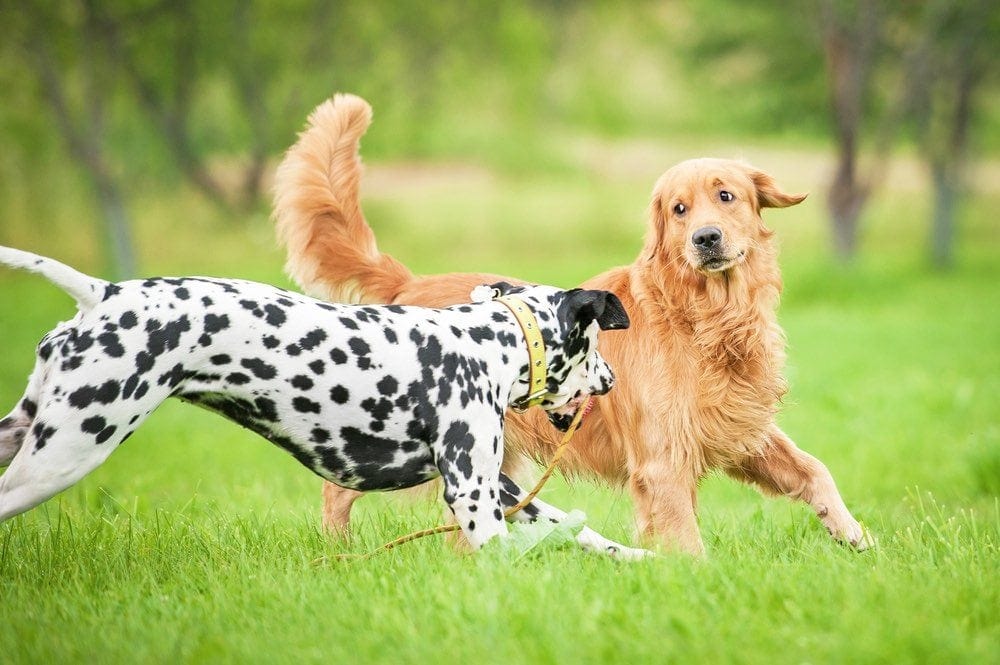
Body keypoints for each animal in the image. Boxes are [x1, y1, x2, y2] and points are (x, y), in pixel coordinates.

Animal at [0, 246, 652, 556]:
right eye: (596, 345)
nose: (612, 381)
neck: (484, 342)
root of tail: (104, 293)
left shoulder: (501, 487)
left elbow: (586, 535)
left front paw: (642, 559)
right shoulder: (472, 493)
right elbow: (501, 554)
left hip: (26, 432)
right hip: (62, 455)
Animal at [272, 92, 868, 548]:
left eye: (726, 196)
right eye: (678, 209)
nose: (706, 238)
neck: (702, 318)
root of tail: (410, 282)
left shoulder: (738, 428)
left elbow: (814, 469)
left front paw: (854, 534)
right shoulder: (662, 459)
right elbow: (685, 540)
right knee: (337, 488)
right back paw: (338, 548)